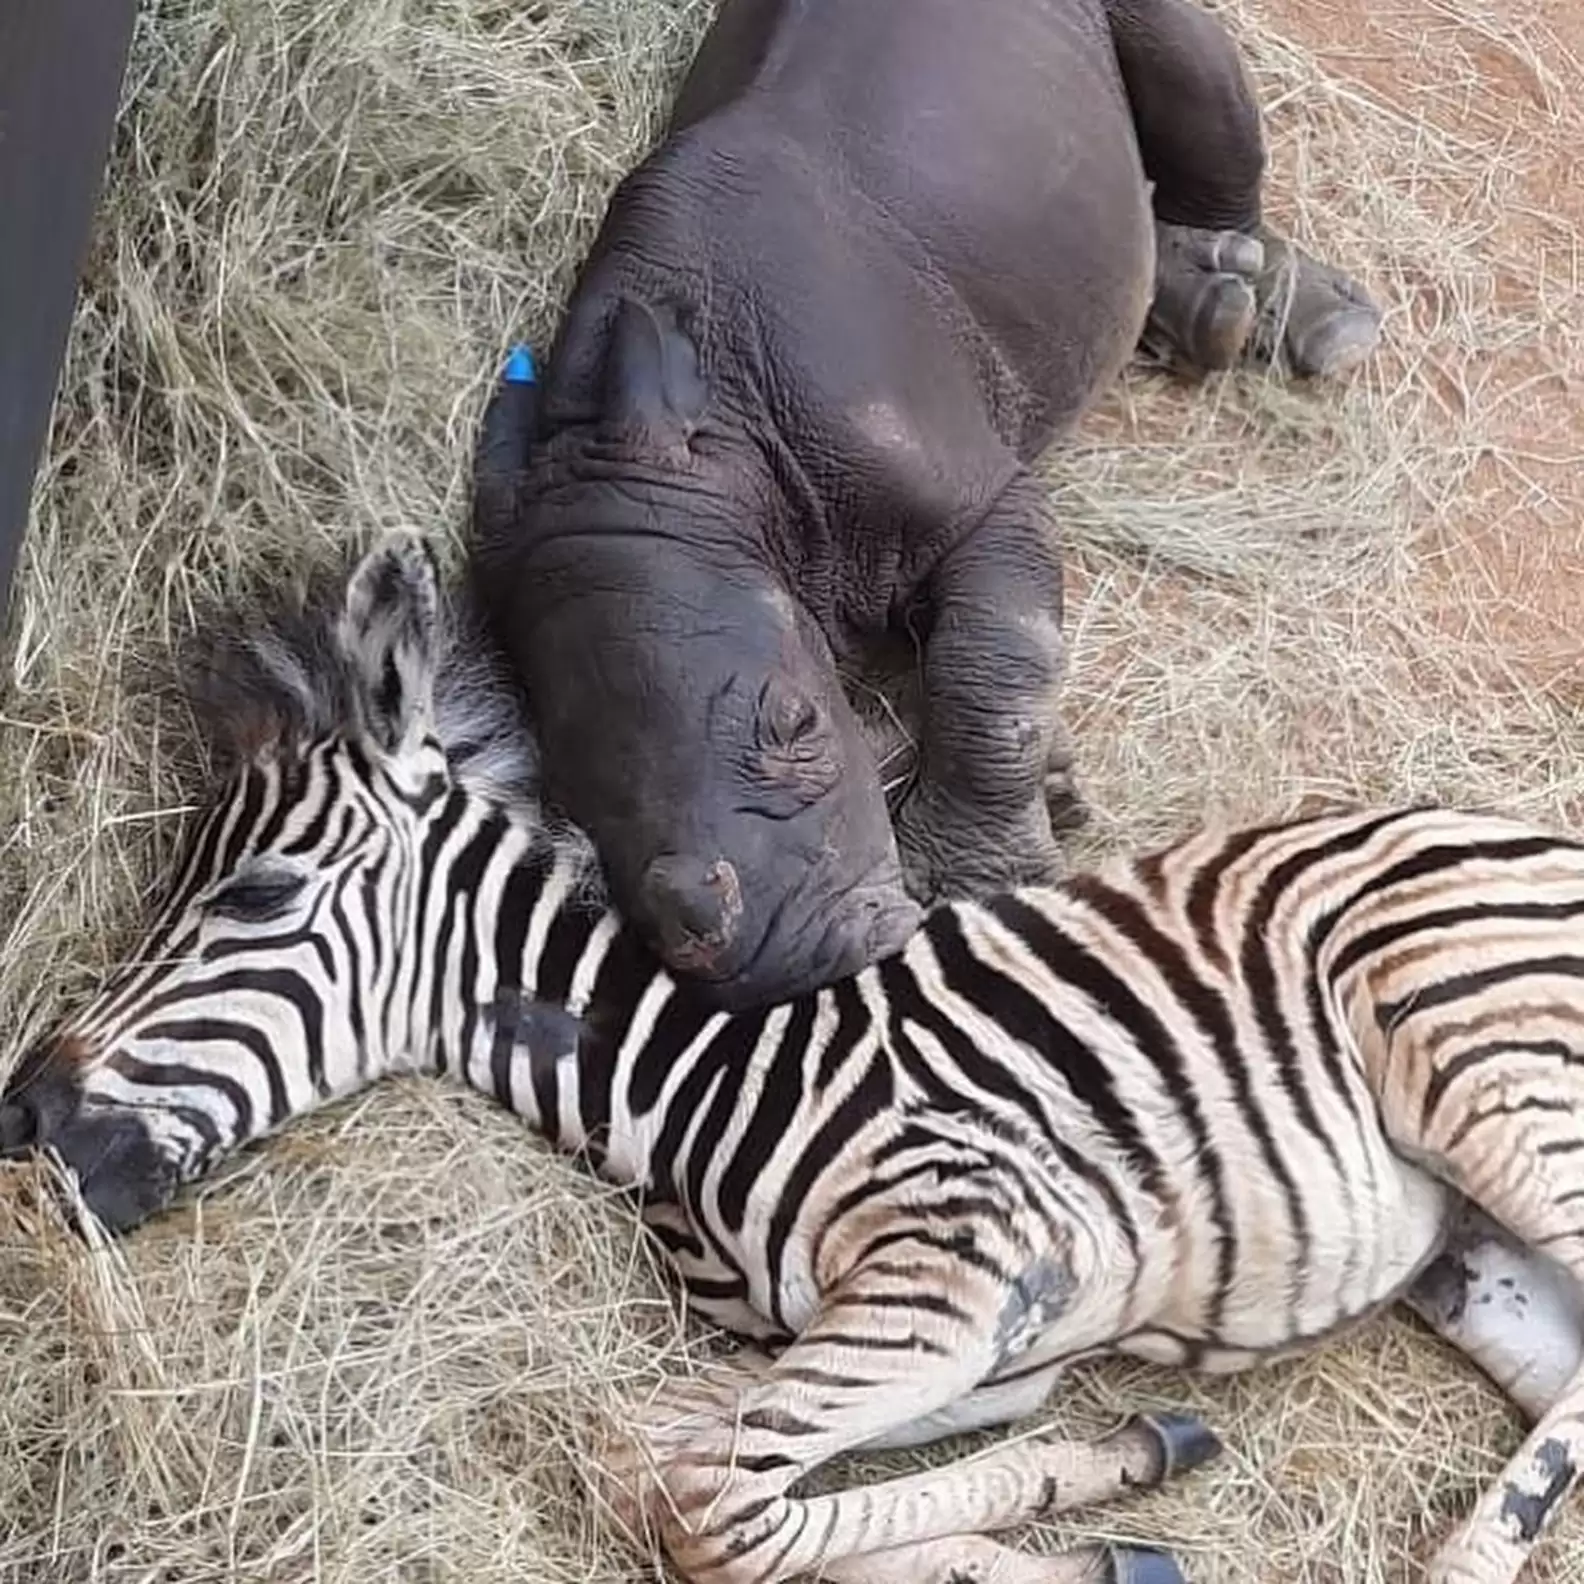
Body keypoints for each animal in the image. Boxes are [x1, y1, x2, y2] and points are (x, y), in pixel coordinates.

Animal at [3, 533, 1584, 1584]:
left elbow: (716, 1513)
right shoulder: (963, 1340)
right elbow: (662, 1461)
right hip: (1472, 1255)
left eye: (255, 894)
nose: (24, 1116)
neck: (694, 1086)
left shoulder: (967, 1266)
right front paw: (1109, 1493)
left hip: (1483, 1063)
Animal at [471, 0, 1381, 1011]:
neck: (715, 462)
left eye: (799, 724)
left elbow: (993, 670)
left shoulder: (978, 500)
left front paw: (978, 883)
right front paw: (1052, 788)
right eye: (573, 807)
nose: (786, 963)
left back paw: (1284, 314)